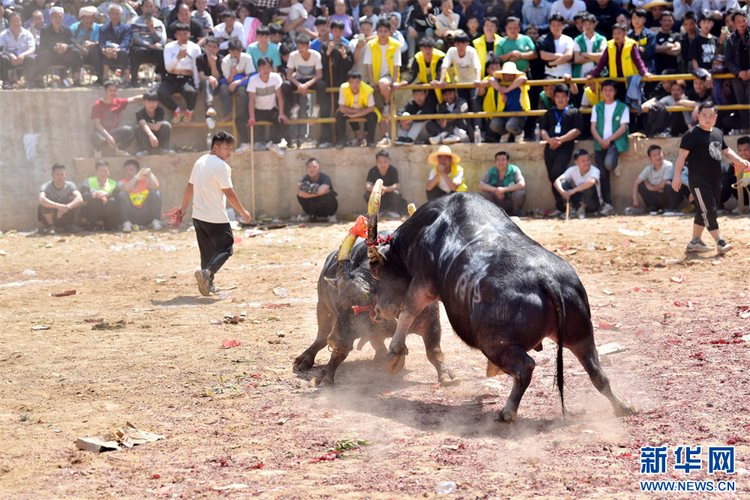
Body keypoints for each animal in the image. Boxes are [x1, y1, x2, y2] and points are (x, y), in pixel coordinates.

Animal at [294, 182, 458, 388]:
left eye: (360, 307)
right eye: (339, 306)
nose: (334, 341)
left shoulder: (432, 318)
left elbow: (434, 351)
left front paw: (447, 375)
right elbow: (339, 353)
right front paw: (325, 375)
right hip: (321, 305)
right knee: (321, 335)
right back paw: (305, 358)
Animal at [368, 191, 636, 422]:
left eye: (376, 271)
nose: (379, 310)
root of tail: (546, 278)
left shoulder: (423, 282)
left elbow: (408, 311)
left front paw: (395, 352)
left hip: (494, 343)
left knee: (525, 368)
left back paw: (508, 412)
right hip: (581, 335)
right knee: (596, 371)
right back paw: (623, 406)